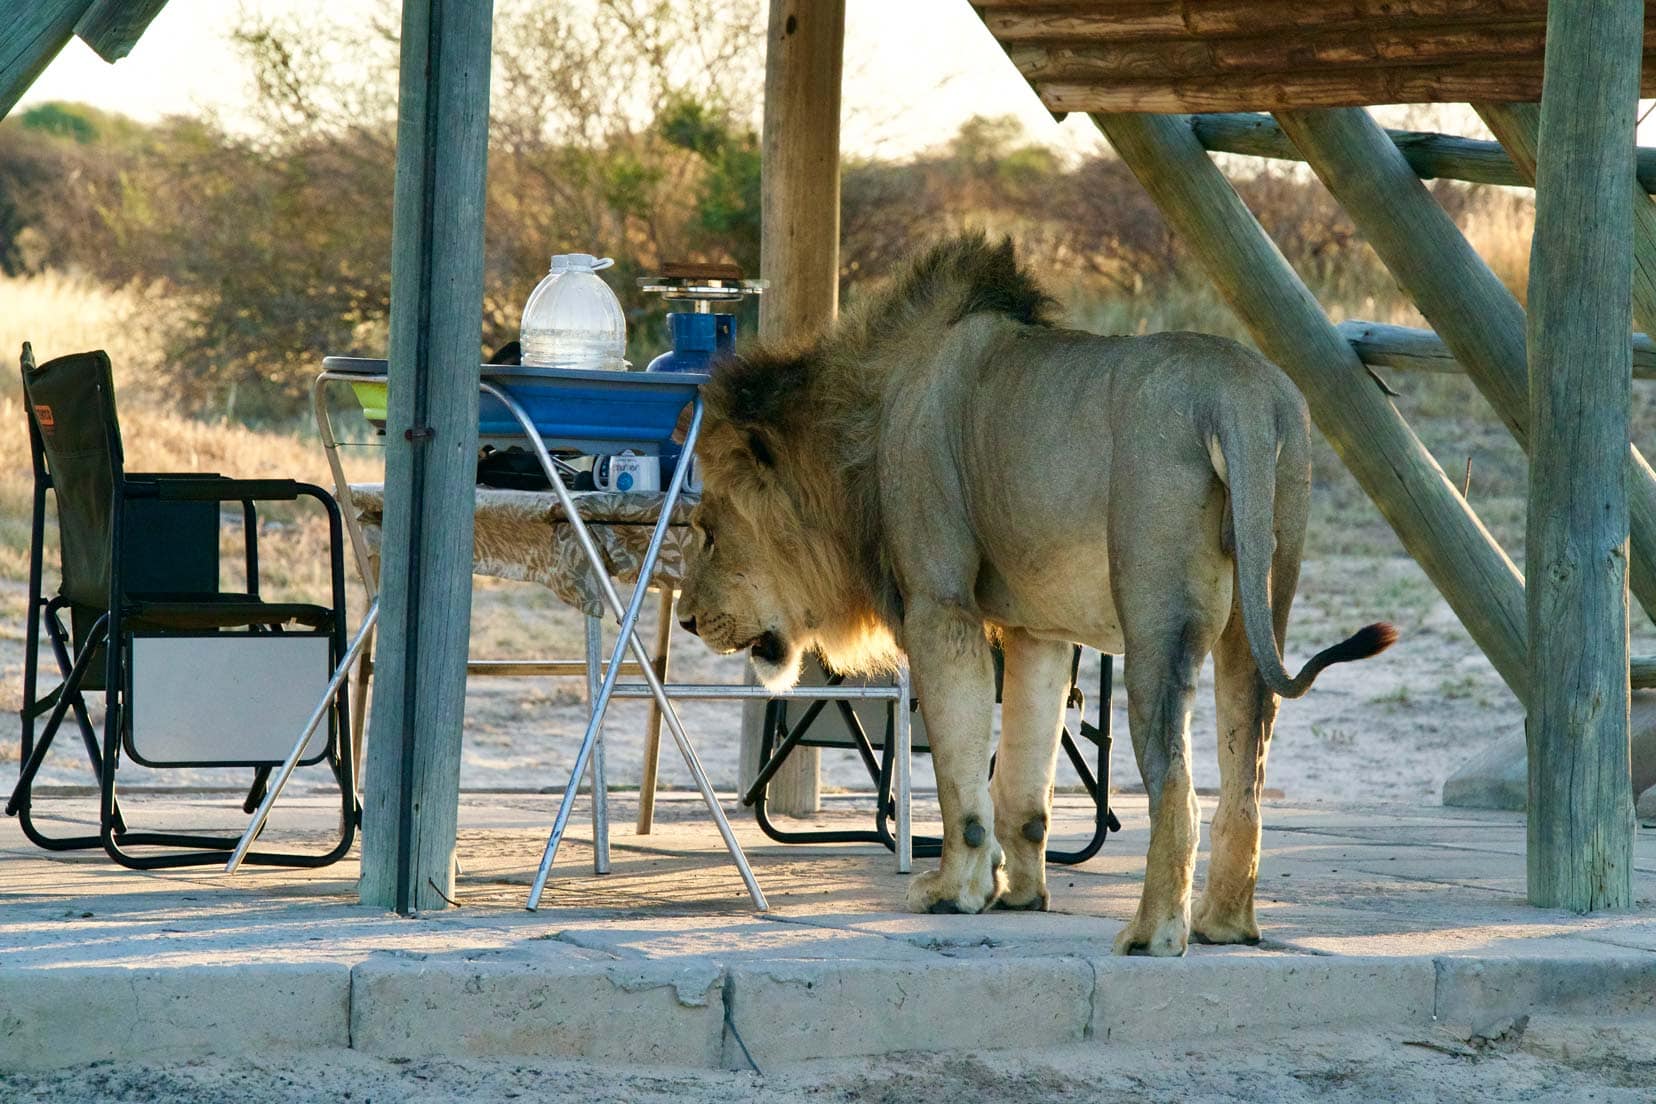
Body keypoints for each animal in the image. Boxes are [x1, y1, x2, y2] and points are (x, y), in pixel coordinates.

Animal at [678, 235, 1391, 960]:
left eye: (705, 530)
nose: (685, 620)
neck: (862, 428)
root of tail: (1241, 398)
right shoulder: (1039, 632)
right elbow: (1022, 780)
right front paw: (1017, 895)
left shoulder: (939, 603)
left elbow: (960, 771)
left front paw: (955, 892)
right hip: (1255, 618)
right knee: (1243, 782)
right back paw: (1224, 924)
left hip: (1155, 626)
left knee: (1176, 786)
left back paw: (1153, 934)